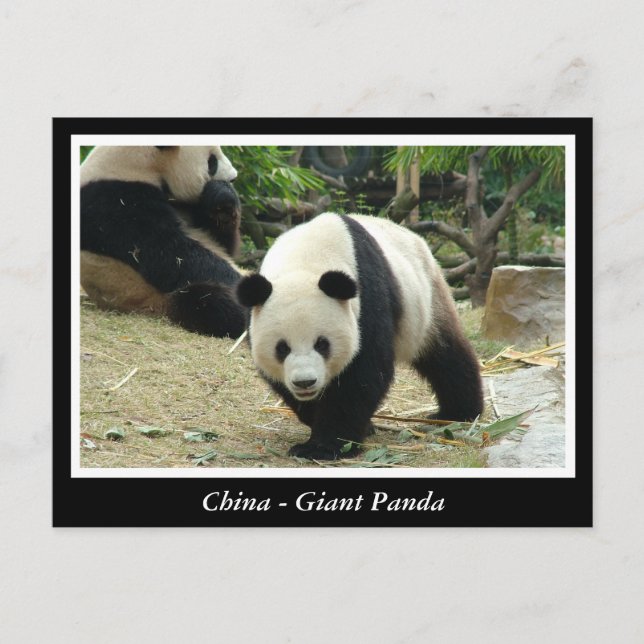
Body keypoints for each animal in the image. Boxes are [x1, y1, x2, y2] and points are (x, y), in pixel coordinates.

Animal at [80, 145, 246, 338]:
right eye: (212, 161)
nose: (234, 177)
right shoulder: (114, 205)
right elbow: (172, 254)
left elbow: (223, 244)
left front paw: (223, 199)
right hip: (151, 297)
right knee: (207, 301)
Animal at [236, 212, 484, 460]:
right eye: (282, 348)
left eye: (322, 344)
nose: (305, 382)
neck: (304, 260)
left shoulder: (367, 300)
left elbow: (363, 375)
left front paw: (324, 446)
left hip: (428, 300)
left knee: (445, 357)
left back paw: (457, 413)